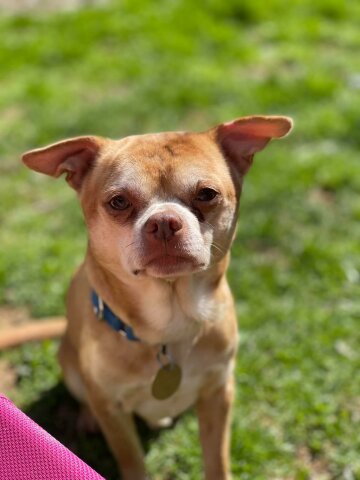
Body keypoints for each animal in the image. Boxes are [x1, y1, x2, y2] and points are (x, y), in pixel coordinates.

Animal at [21, 114, 292, 478]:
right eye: (118, 201)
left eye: (206, 194)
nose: (164, 222)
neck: (170, 324)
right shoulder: (114, 412)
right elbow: (132, 461)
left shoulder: (219, 393)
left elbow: (217, 459)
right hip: (72, 367)